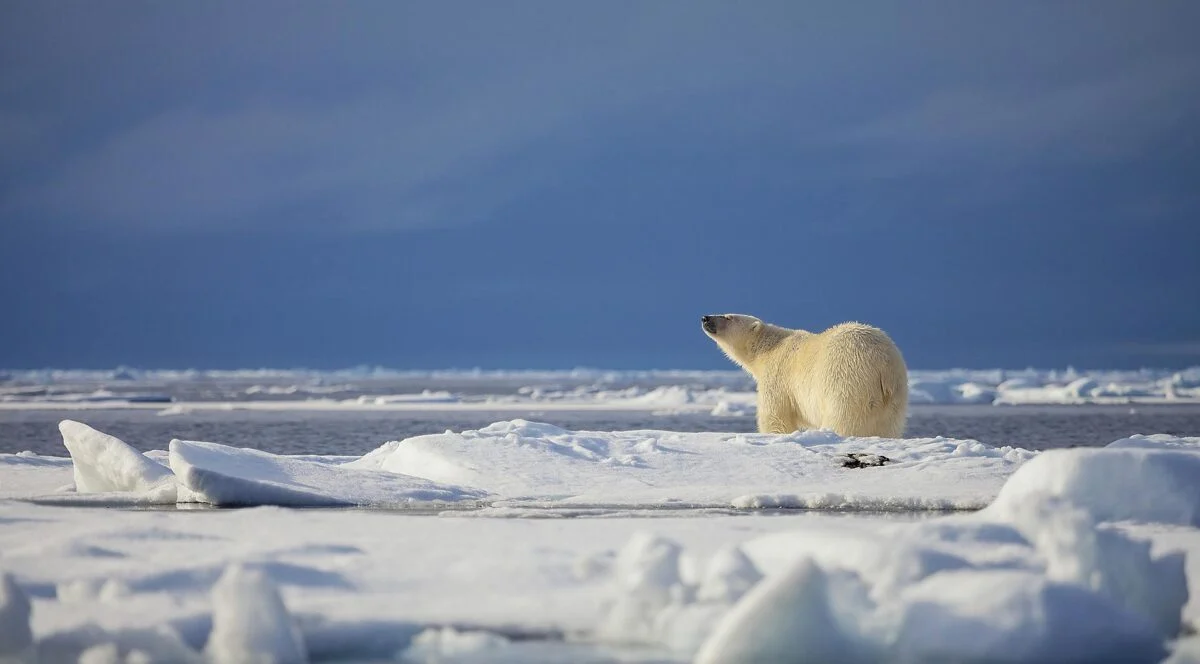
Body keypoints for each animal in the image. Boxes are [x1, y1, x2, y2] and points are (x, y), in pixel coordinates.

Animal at [700, 314, 902, 437]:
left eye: (728, 316)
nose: (705, 317)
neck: (769, 348)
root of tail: (884, 364)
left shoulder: (777, 376)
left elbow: (775, 415)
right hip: (894, 398)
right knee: (887, 426)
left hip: (848, 380)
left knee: (843, 418)